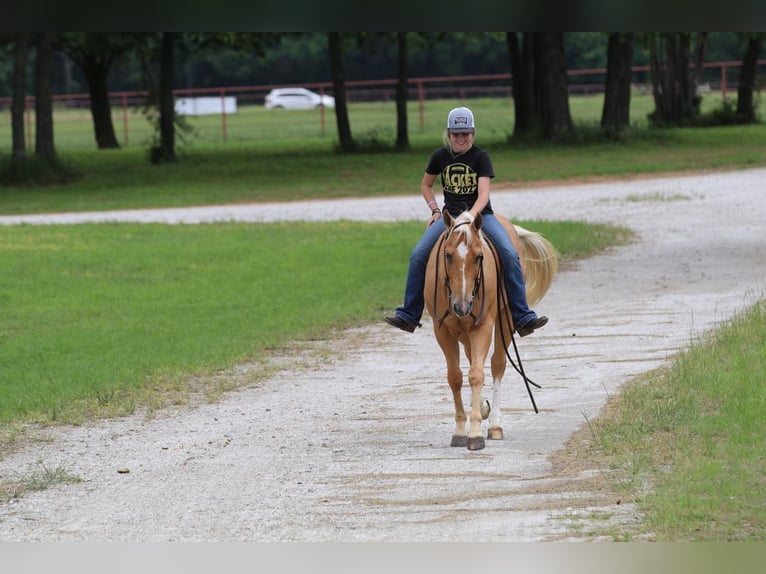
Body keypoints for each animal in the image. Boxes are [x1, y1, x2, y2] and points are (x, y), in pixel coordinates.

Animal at [426, 209, 560, 452]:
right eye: (448, 256)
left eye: (479, 257)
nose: (461, 306)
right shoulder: (442, 331)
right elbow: (456, 377)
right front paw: (460, 430)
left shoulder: (483, 326)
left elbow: (477, 374)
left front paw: (475, 433)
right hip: (464, 333)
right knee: (472, 360)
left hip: (503, 319)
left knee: (497, 363)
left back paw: (495, 424)